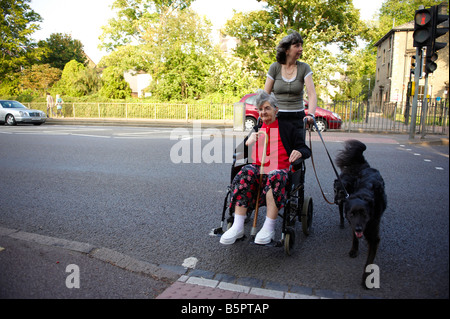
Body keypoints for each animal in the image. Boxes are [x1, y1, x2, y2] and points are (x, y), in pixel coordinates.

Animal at [334, 140, 386, 288]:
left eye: (365, 215)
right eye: (352, 214)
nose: (358, 228)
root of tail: (367, 167)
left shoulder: (374, 237)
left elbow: (369, 262)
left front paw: (366, 279)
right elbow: (354, 238)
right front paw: (354, 250)